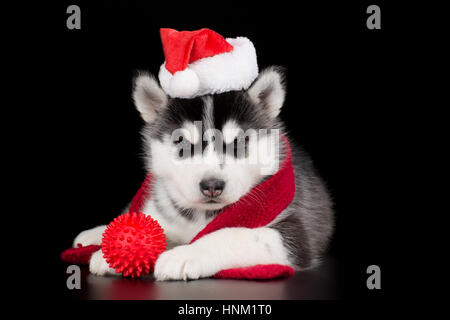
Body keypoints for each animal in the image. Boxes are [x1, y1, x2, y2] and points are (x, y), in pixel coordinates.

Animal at [74, 67, 334, 280]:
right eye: (181, 142)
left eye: (238, 142)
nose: (212, 186)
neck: (202, 215)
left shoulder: (294, 234)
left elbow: (233, 235)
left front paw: (185, 254)